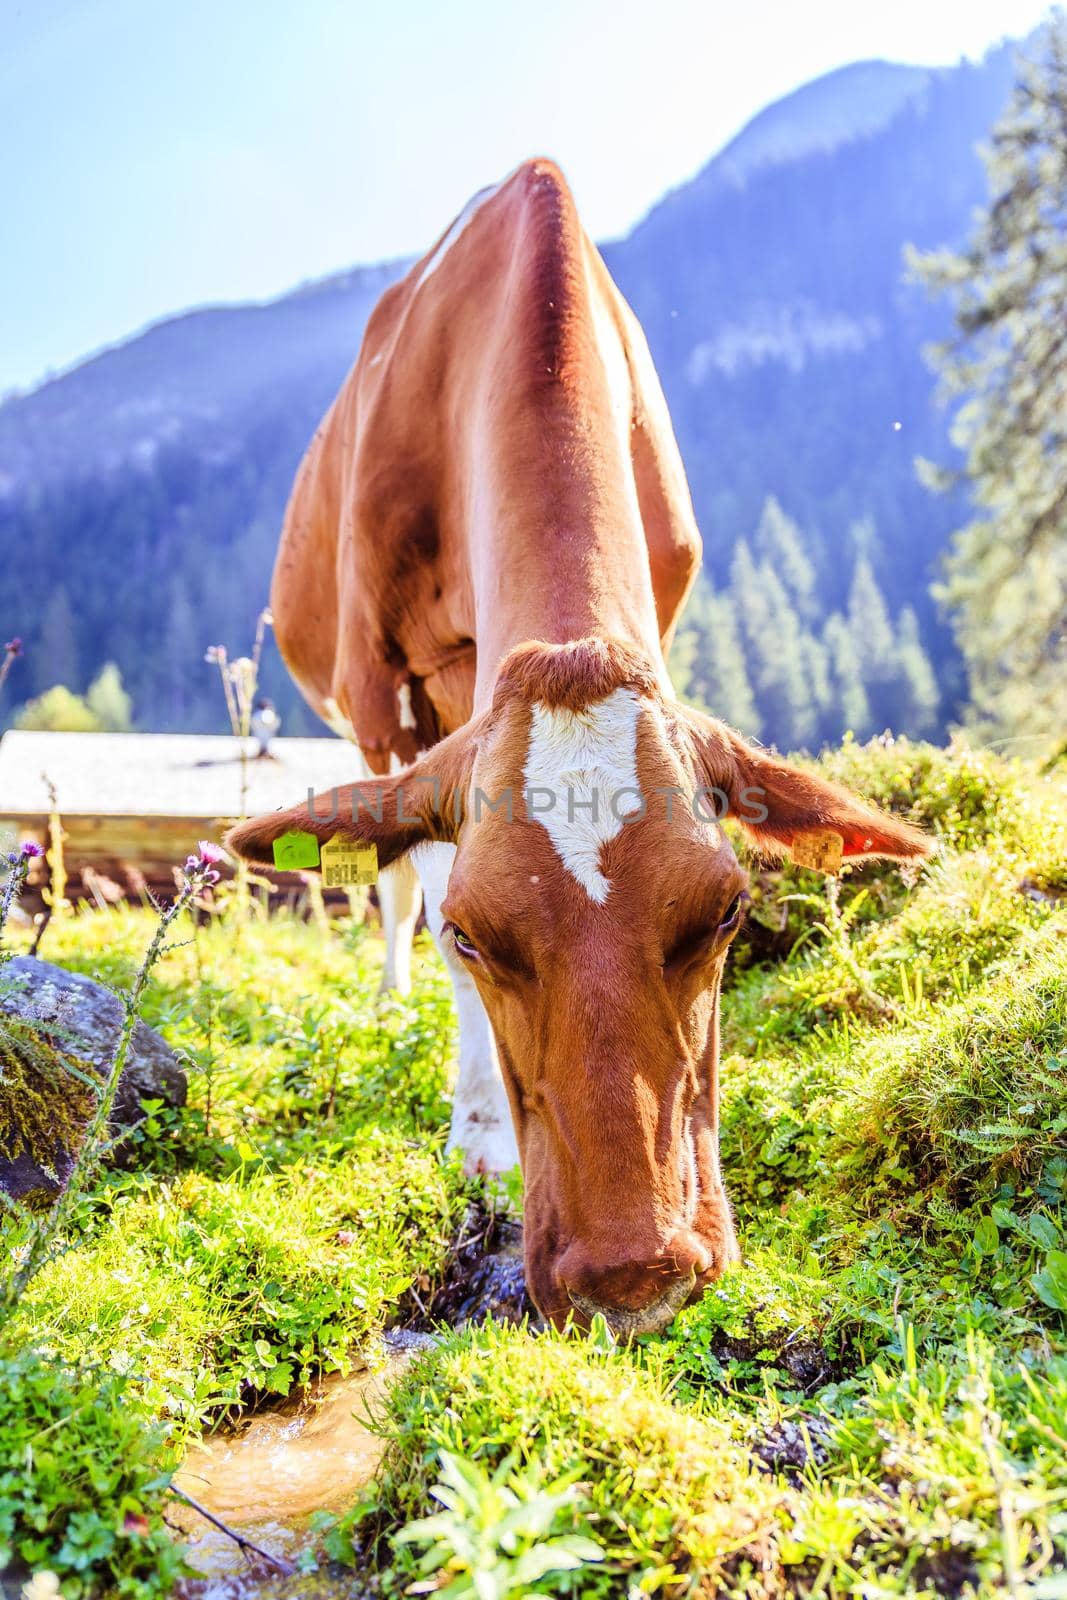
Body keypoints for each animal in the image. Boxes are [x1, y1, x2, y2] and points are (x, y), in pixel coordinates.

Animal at [227, 162, 927, 1337]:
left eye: (725, 911)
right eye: (475, 937)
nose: (635, 1272)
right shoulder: (382, 694)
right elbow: (417, 891)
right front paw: (475, 1136)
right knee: (388, 887)